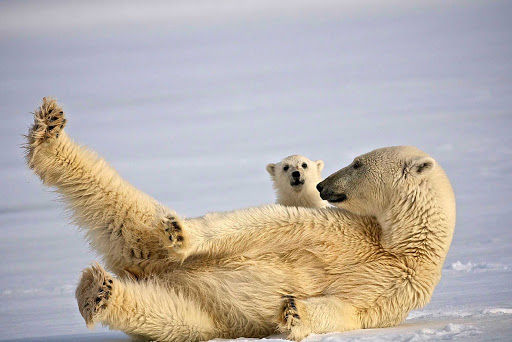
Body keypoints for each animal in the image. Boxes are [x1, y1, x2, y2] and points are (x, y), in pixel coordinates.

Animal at [25, 97, 456, 340]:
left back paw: (98, 291)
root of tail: (139, 267)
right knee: (119, 203)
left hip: (200, 310)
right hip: (147, 240)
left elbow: (350, 311)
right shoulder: (341, 229)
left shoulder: (399, 286)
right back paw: (50, 132)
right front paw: (185, 234)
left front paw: (294, 311)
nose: (322, 185)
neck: (398, 243)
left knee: (165, 311)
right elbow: (270, 225)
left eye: (357, 163)